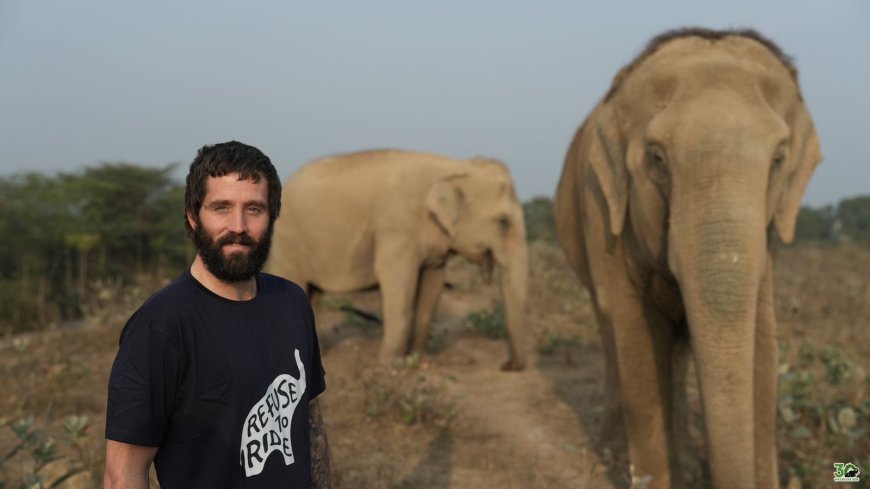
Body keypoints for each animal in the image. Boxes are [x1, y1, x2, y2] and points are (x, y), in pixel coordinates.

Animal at [270, 149, 532, 370]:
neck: (453, 166)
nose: (506, 365)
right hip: (286, 244)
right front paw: (392, 366)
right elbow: (398, 281)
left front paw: (420, 359)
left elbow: (433, 283)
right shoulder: (397, 226)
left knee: (311, 294)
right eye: (503, 222)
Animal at [560, 29, 824, 488]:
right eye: (657, 158)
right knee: (609, 327)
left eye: (778, 159)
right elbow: (637, 335)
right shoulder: (602, 212)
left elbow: (762, 340)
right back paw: (614, 447)